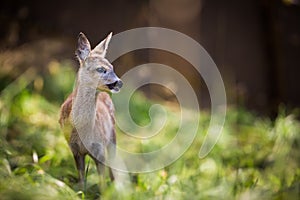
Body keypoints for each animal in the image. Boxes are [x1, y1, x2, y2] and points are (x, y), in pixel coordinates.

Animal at [59, 32, 122, 188]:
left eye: (112, 67)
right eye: (100, 69)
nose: (119, 82)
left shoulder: (99, 150)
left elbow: (102, 183)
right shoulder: (74, 149)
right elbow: (81, 179)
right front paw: (81, 191)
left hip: (112, 135)